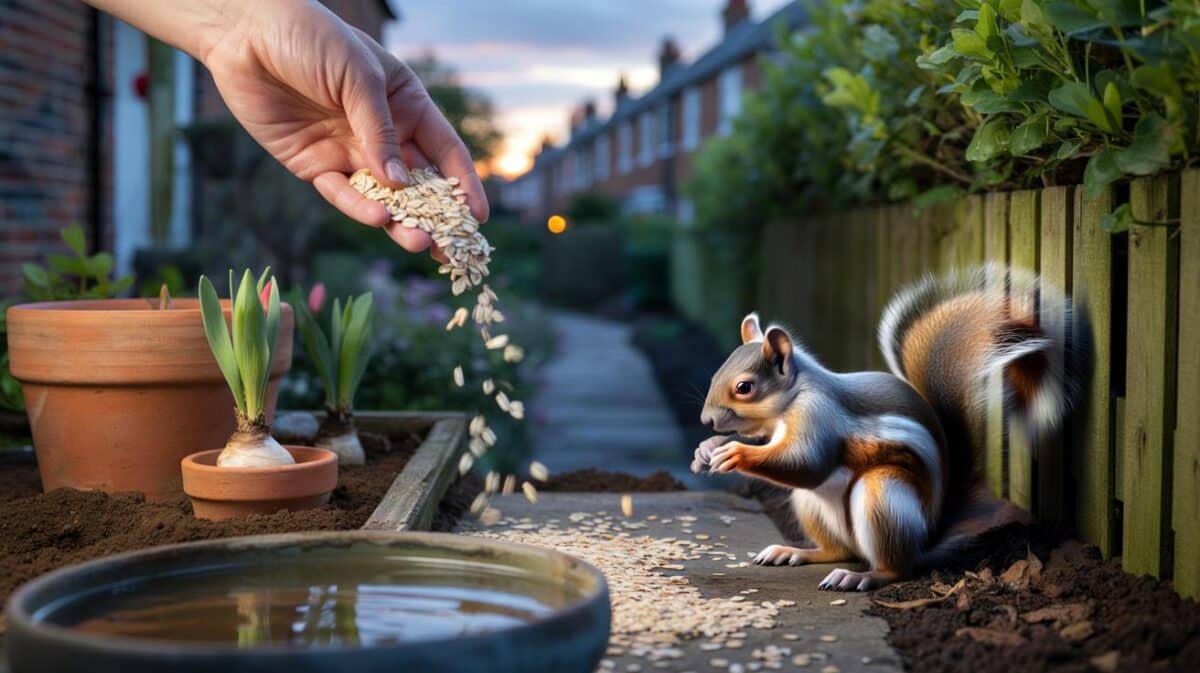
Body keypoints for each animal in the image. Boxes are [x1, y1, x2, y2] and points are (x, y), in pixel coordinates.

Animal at [691, 264, 1087, 591]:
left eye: (744, 387)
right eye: (714, 375)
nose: (706, 420)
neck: (788, 403)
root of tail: (927, 538)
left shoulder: (818, 414)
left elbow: (807, 463)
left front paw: (735, 453)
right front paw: (707, 448)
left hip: (882, 496)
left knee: (894, 568)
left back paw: (862, 576)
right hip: (809, 503)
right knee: (838, 550)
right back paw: (797, 553)